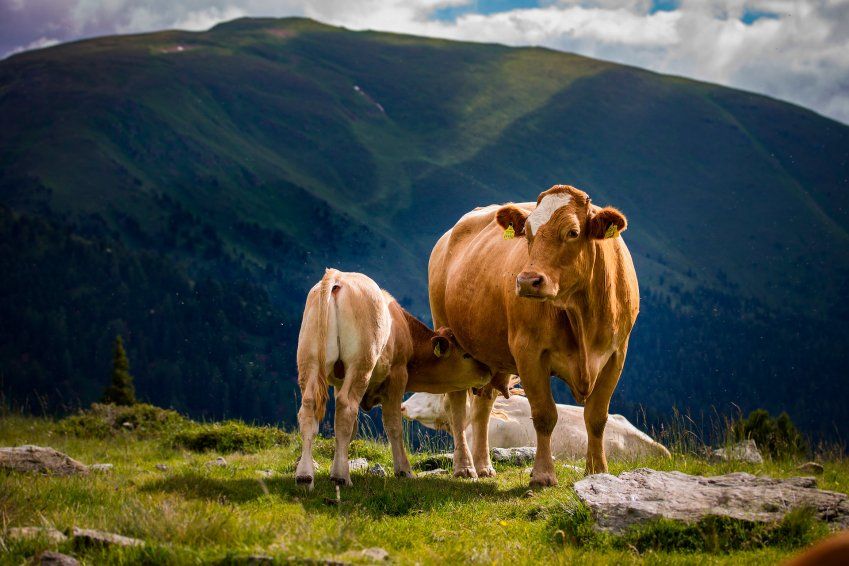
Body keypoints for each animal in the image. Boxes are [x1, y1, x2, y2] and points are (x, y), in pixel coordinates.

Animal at [296, 268, 490, 490]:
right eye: (466, 355)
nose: (488, 370)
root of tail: (338, 277)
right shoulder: (398, 376)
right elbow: (393, 425)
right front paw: (404, 470)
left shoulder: (338, 382)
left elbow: (350, 429)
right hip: (360, 364)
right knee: (346, 407)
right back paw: (341, 477)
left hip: (309, 361)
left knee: (309, 408)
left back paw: (304, 476)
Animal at [430, 186, 636, 488]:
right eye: (527, 232)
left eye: (573, 232)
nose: (527, 280)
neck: (581, 314)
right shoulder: (529, 352)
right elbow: (544, 415)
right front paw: (543, 474)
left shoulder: (616, 354)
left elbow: (597, 416)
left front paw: (598, 471)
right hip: (448, 336)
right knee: (457, 405)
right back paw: (464, 467)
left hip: (491, 355)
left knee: (483, 406)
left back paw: (483, 465)